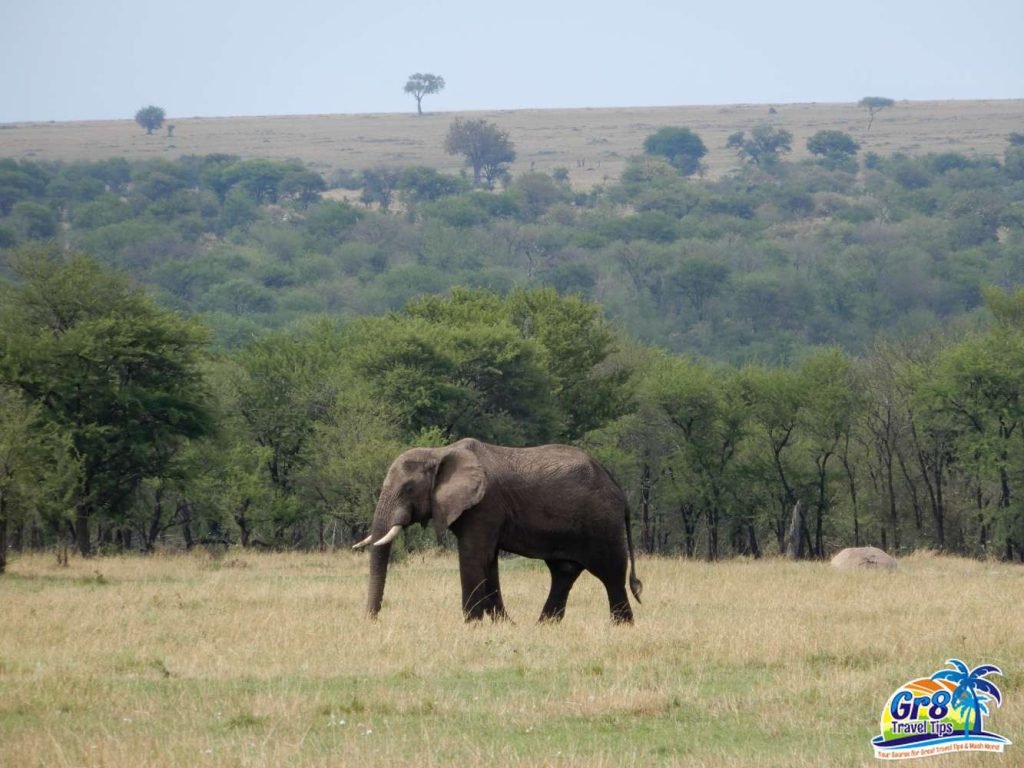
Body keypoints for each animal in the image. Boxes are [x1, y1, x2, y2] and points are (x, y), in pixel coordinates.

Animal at [353, 438, 643, 623]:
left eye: (408, 489)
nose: (371, 620)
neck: (439, 452)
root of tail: (618, 489)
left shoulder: (485, 505)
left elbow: (474, 557)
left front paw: (471, 624)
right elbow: (488, 560)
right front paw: (502, 624)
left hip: (602, 523)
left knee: (610, 574)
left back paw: (621, 626)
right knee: (564, 572)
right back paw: (543, 626)